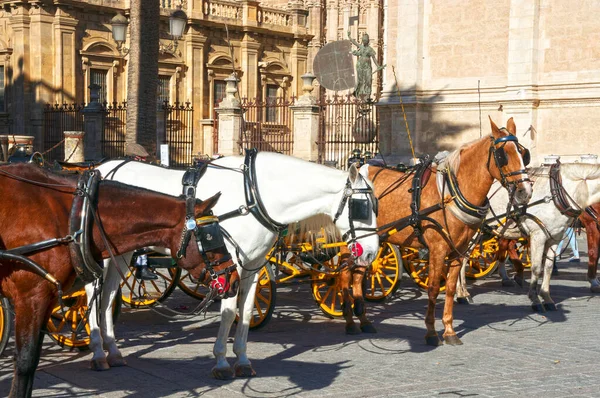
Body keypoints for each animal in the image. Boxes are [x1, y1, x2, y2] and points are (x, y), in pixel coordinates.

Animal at [0, 163, 233, 396]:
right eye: (210, 237)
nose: (233, 276)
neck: (76, 213)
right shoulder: (31, 298)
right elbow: (25, 361)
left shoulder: (46, 300)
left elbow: (32, 362)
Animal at [88, 153, 380, 380]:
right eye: (361, 206)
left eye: (376, 205)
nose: (371, 252)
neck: (253, 198)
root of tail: (102, 167)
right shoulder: (230, 268)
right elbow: (228, 313)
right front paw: (221, 362)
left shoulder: (253, 267)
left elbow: (247, 311)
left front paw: (242, 360)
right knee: (92, 292)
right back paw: (98, 351)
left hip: (121, 253)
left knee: (109, 297)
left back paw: (113, 350)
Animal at [340, 116, 532, 344]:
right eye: (503, 155)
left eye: (523, 153)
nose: (525, 192)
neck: (451, 193)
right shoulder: (437, 250)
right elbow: (432, 289)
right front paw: (431, 332)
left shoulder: (459, 250)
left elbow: (448, 288)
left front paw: (449, 330)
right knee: (344, 277)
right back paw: (349, 322)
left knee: (357, 276)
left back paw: (365, 322)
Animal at [458, 162, 600, 310]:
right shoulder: (539, 235)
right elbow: (536, 268)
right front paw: (535, 299)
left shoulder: (555, 237)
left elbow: (548, 268)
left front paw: (547, 297)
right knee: (462, 259)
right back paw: (463, 294)